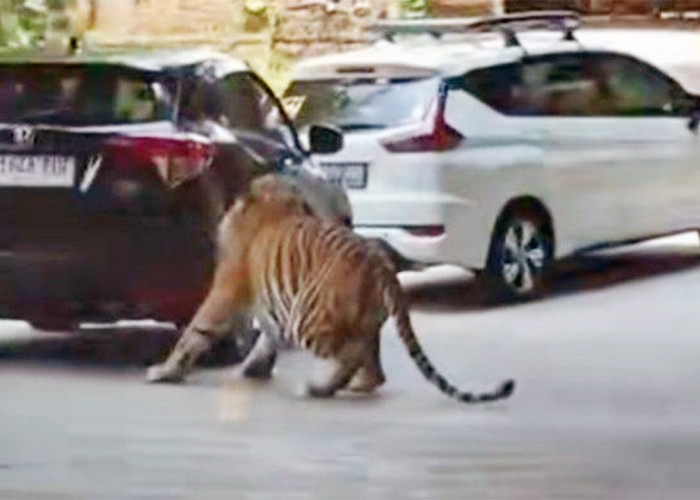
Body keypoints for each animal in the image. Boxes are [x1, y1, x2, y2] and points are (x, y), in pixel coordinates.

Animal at [146, 174, 516, 404]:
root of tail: (380, 262)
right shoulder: (267, 299)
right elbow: (266, 335)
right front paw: (254, 368)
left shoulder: (227, 290)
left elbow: (196, 331)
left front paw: (165, 371)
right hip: (363, 320)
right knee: (373, 366)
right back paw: (355, 385)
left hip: (308, 318)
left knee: (351, 353)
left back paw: (317, 387)